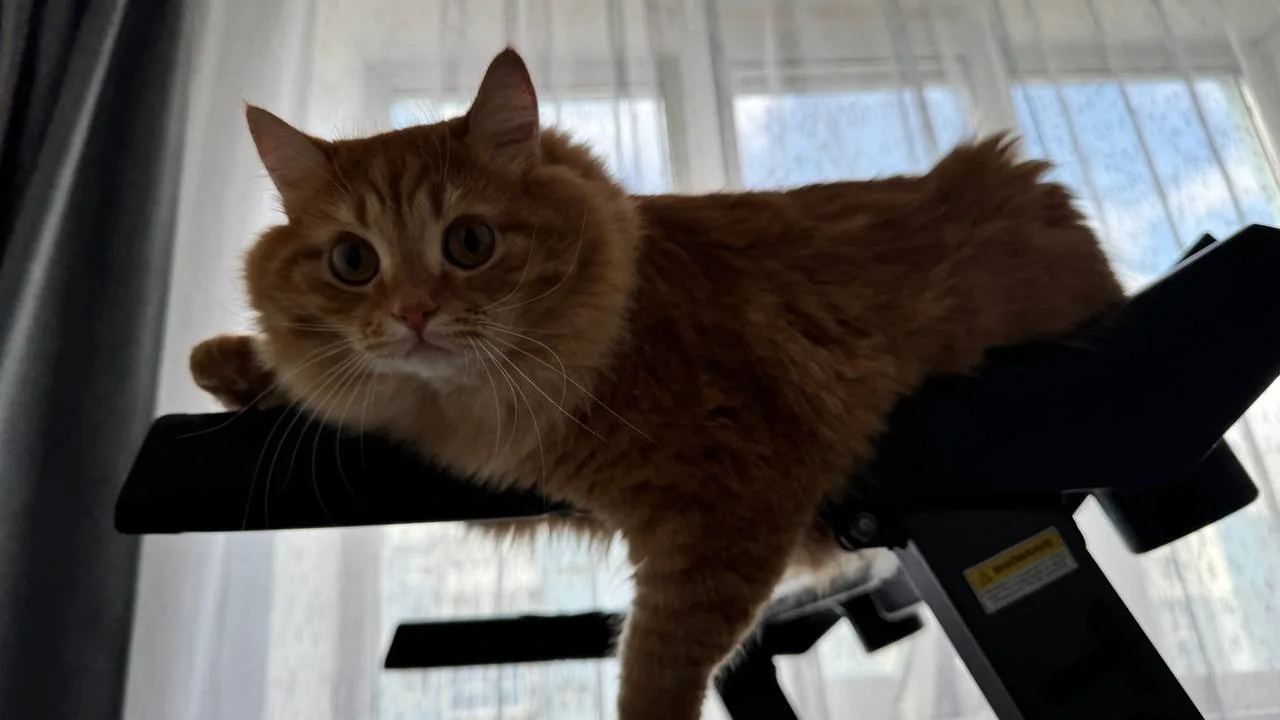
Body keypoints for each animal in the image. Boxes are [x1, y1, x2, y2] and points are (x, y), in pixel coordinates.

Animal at [190, 48, 1123, 719]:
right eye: (353, 262)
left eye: (470, 243)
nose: (415, 313)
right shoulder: (517, 490)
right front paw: (232, 362)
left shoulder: (731, 505)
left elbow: (658, 664)